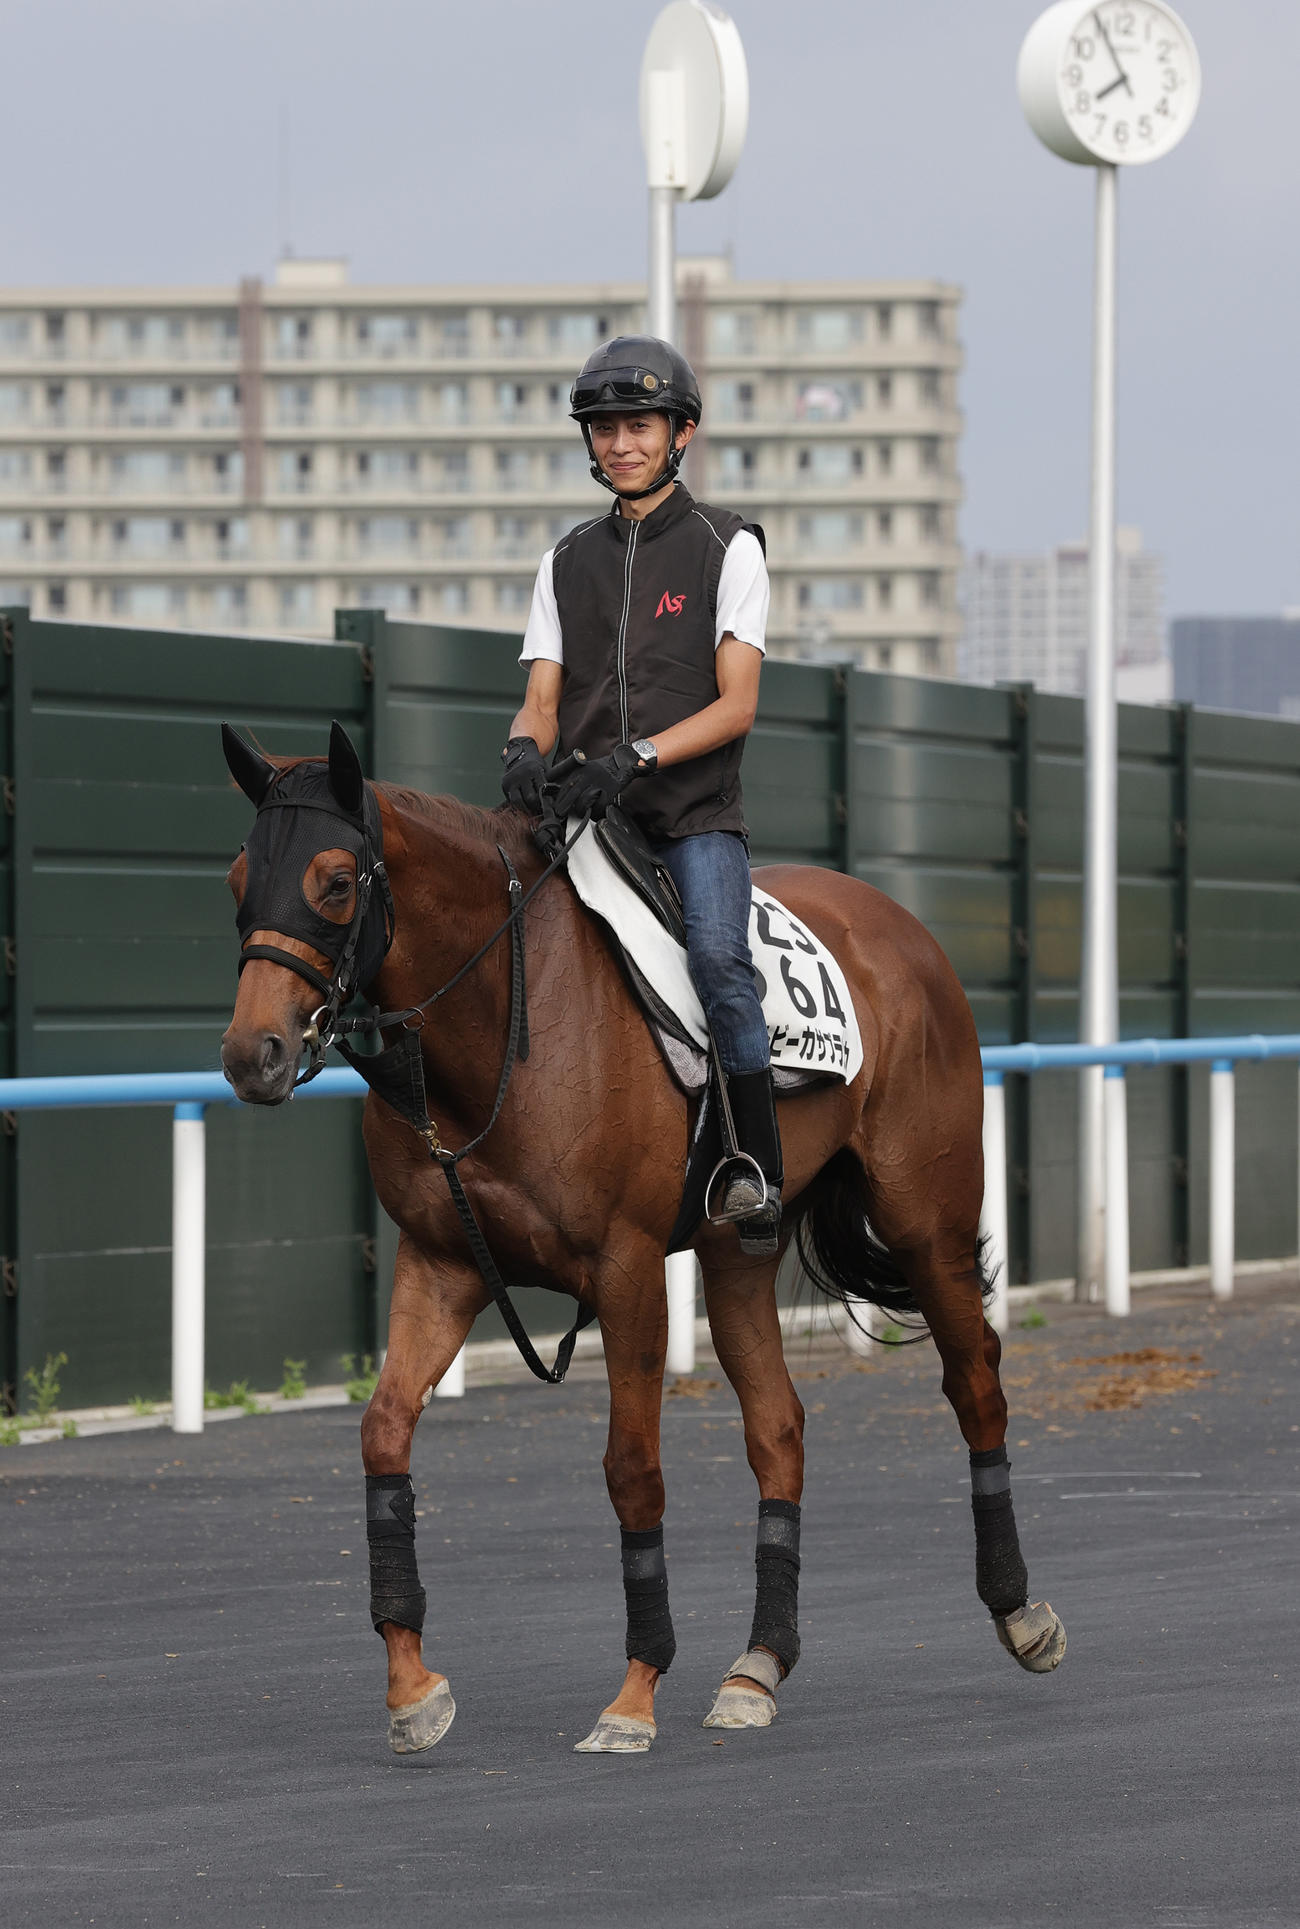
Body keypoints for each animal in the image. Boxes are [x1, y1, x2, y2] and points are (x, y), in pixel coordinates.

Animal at [218, 722, 1065, 1756]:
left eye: (336, 880)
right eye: (239, 875)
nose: (250, 1054)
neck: (508, 1014)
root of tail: (900, 926)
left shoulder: (625, 1271)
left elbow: (632, 1470)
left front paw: (633, 1691)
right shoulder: (443, 1263)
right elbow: (384, 1434)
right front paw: (412, 1684)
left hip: (925, 1220)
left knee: (974, 1381)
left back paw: (1020, 1612)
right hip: (737, 1252)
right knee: (779, 1428)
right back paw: (758, 1665)